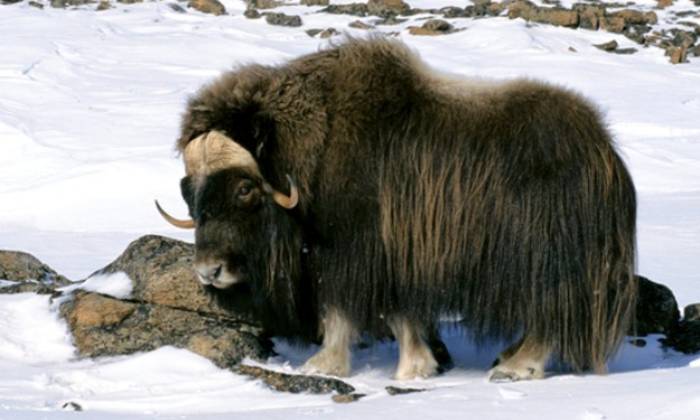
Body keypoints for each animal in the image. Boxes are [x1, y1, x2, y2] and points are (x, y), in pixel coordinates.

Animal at [157, 38, 637, 381]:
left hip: (546, 262)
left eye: (244, 188)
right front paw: (423, 365)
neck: (315, 147)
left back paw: (516, 368)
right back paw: (507, 356)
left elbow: (349, 311)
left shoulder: (361, 252)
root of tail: (605, 153)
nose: (208, 272)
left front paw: (334, 366)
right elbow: (401, 312)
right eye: (188, 190)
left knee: (549, 313)